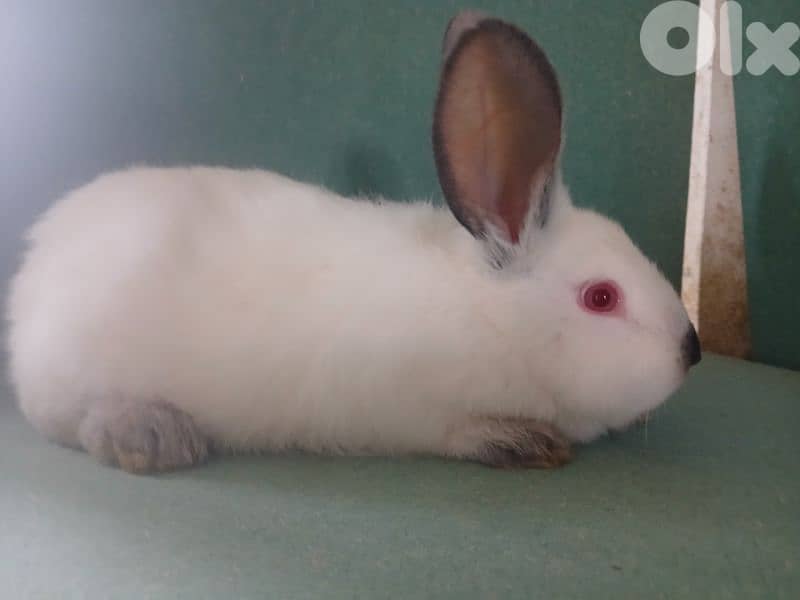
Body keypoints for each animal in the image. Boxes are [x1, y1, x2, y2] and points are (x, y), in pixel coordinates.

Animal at [5, 11, 701, 474]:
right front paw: (521, 441)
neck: (495, 317)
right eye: (602, 297)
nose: (690, 351)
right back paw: (150, 435)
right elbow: (460, 430)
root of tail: (33, 274)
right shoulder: (413, 409)